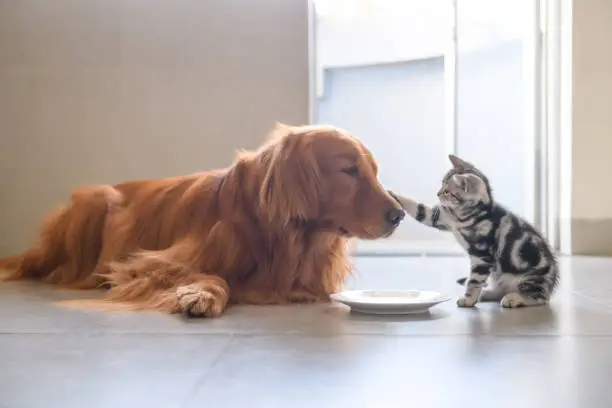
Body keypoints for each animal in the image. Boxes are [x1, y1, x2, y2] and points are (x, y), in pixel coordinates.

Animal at [392, 155, 560, 308]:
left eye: (447, 191)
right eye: (442, 185)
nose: (438, 193)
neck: (465, 216)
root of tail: (551, 285)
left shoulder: (482, 254)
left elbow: (475, 280)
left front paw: (468, 299)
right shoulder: (439, 217)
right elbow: (418, 209)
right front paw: (393, 195)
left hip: (530, 277)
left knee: (539, 297)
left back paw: (514, 298)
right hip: (498, 277)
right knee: (502, 290)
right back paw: (487, 293)